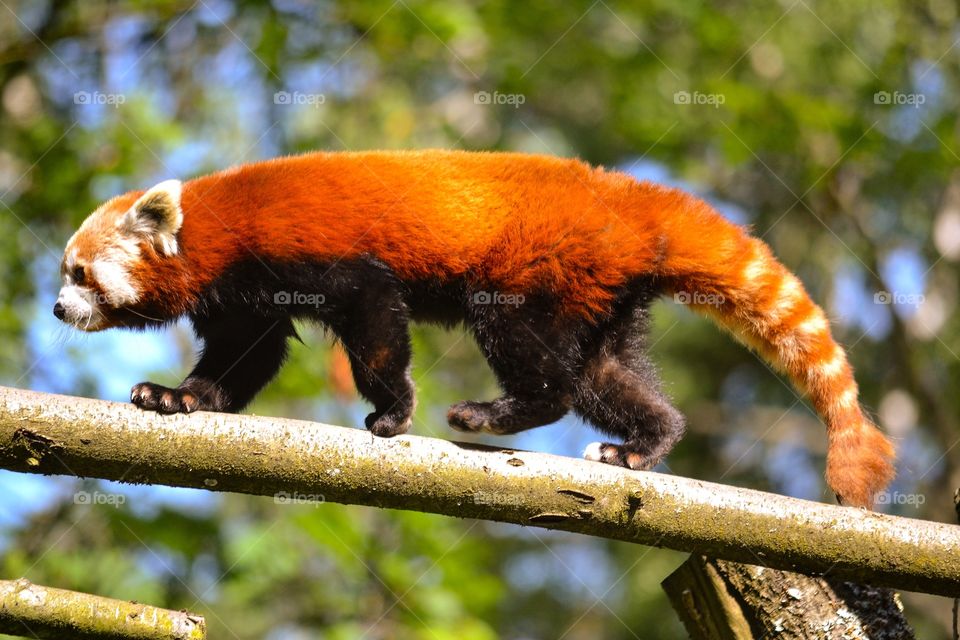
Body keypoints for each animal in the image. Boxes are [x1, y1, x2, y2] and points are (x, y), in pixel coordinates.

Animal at [56, 148, 896, 508]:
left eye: (79, 274)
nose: (58, 311)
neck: (216, 231)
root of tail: (627, 196)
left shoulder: (305, 255)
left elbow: (373, 316)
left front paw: (392, 413)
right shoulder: (240, 297)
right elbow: (244, 355)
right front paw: (178, 398)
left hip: (531, 274)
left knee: (545, 368)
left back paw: (497, 412)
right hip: (602, 297)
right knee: (606, 377)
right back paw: (638, 445)